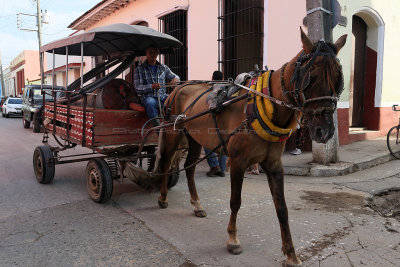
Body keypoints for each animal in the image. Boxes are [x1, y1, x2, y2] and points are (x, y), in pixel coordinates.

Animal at [153, 28, 346, 266]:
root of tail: (178, 87)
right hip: (173, 134)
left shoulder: (274, 164)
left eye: (338, 78)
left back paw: (197, 205)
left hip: (195, 139)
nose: (325, 131)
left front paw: (291, 253)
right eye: (312, 77)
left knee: (189, 168)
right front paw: (233, 239)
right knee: (166, 162)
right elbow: (235, 201)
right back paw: (162, 198)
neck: (264, 106)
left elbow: (282, 208)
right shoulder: (238, 162)